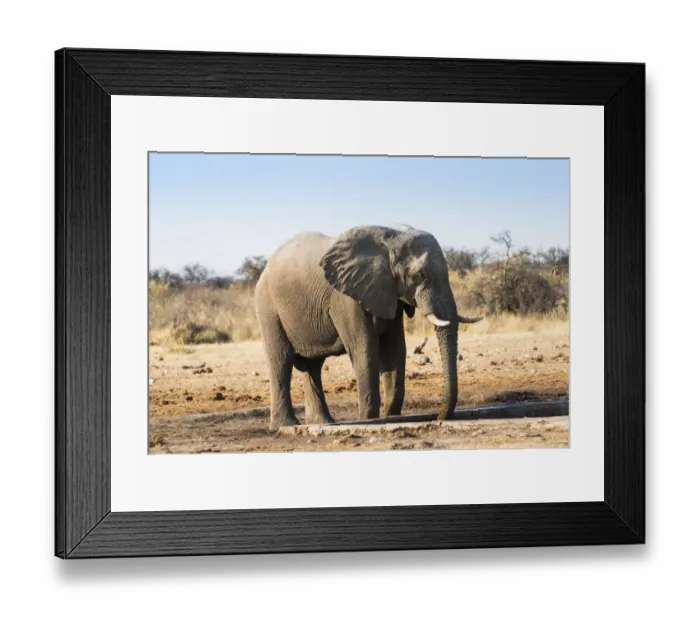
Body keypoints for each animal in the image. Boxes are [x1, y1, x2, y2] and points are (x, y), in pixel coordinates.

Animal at [254, 225, 483, 431]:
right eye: (420, 276)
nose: (439, 416)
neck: (390, 238)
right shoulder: (345, 298)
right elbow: (364, 350)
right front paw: (369, 419)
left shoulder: (389, 292)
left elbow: (394, 350)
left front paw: (391, 416)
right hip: (268, 307)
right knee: (281, 361)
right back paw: (285, 426)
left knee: (312, 367)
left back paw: (324, 423)